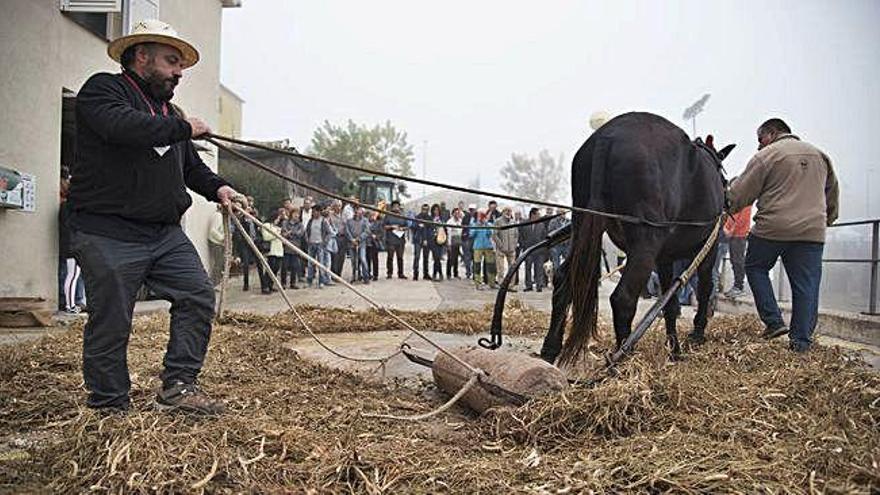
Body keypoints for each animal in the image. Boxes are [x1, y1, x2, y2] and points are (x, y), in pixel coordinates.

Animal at [540, 114, 732, 366]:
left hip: (583, 226)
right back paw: (623, 358)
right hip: (645, 246)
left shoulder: (665, 259)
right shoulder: (708, 247)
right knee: (623, 299)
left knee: (564, 280)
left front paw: (675, 349)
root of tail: (606, 137)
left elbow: (669, 303)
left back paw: (550, 347)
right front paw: (697, 333)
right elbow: (704, 287)